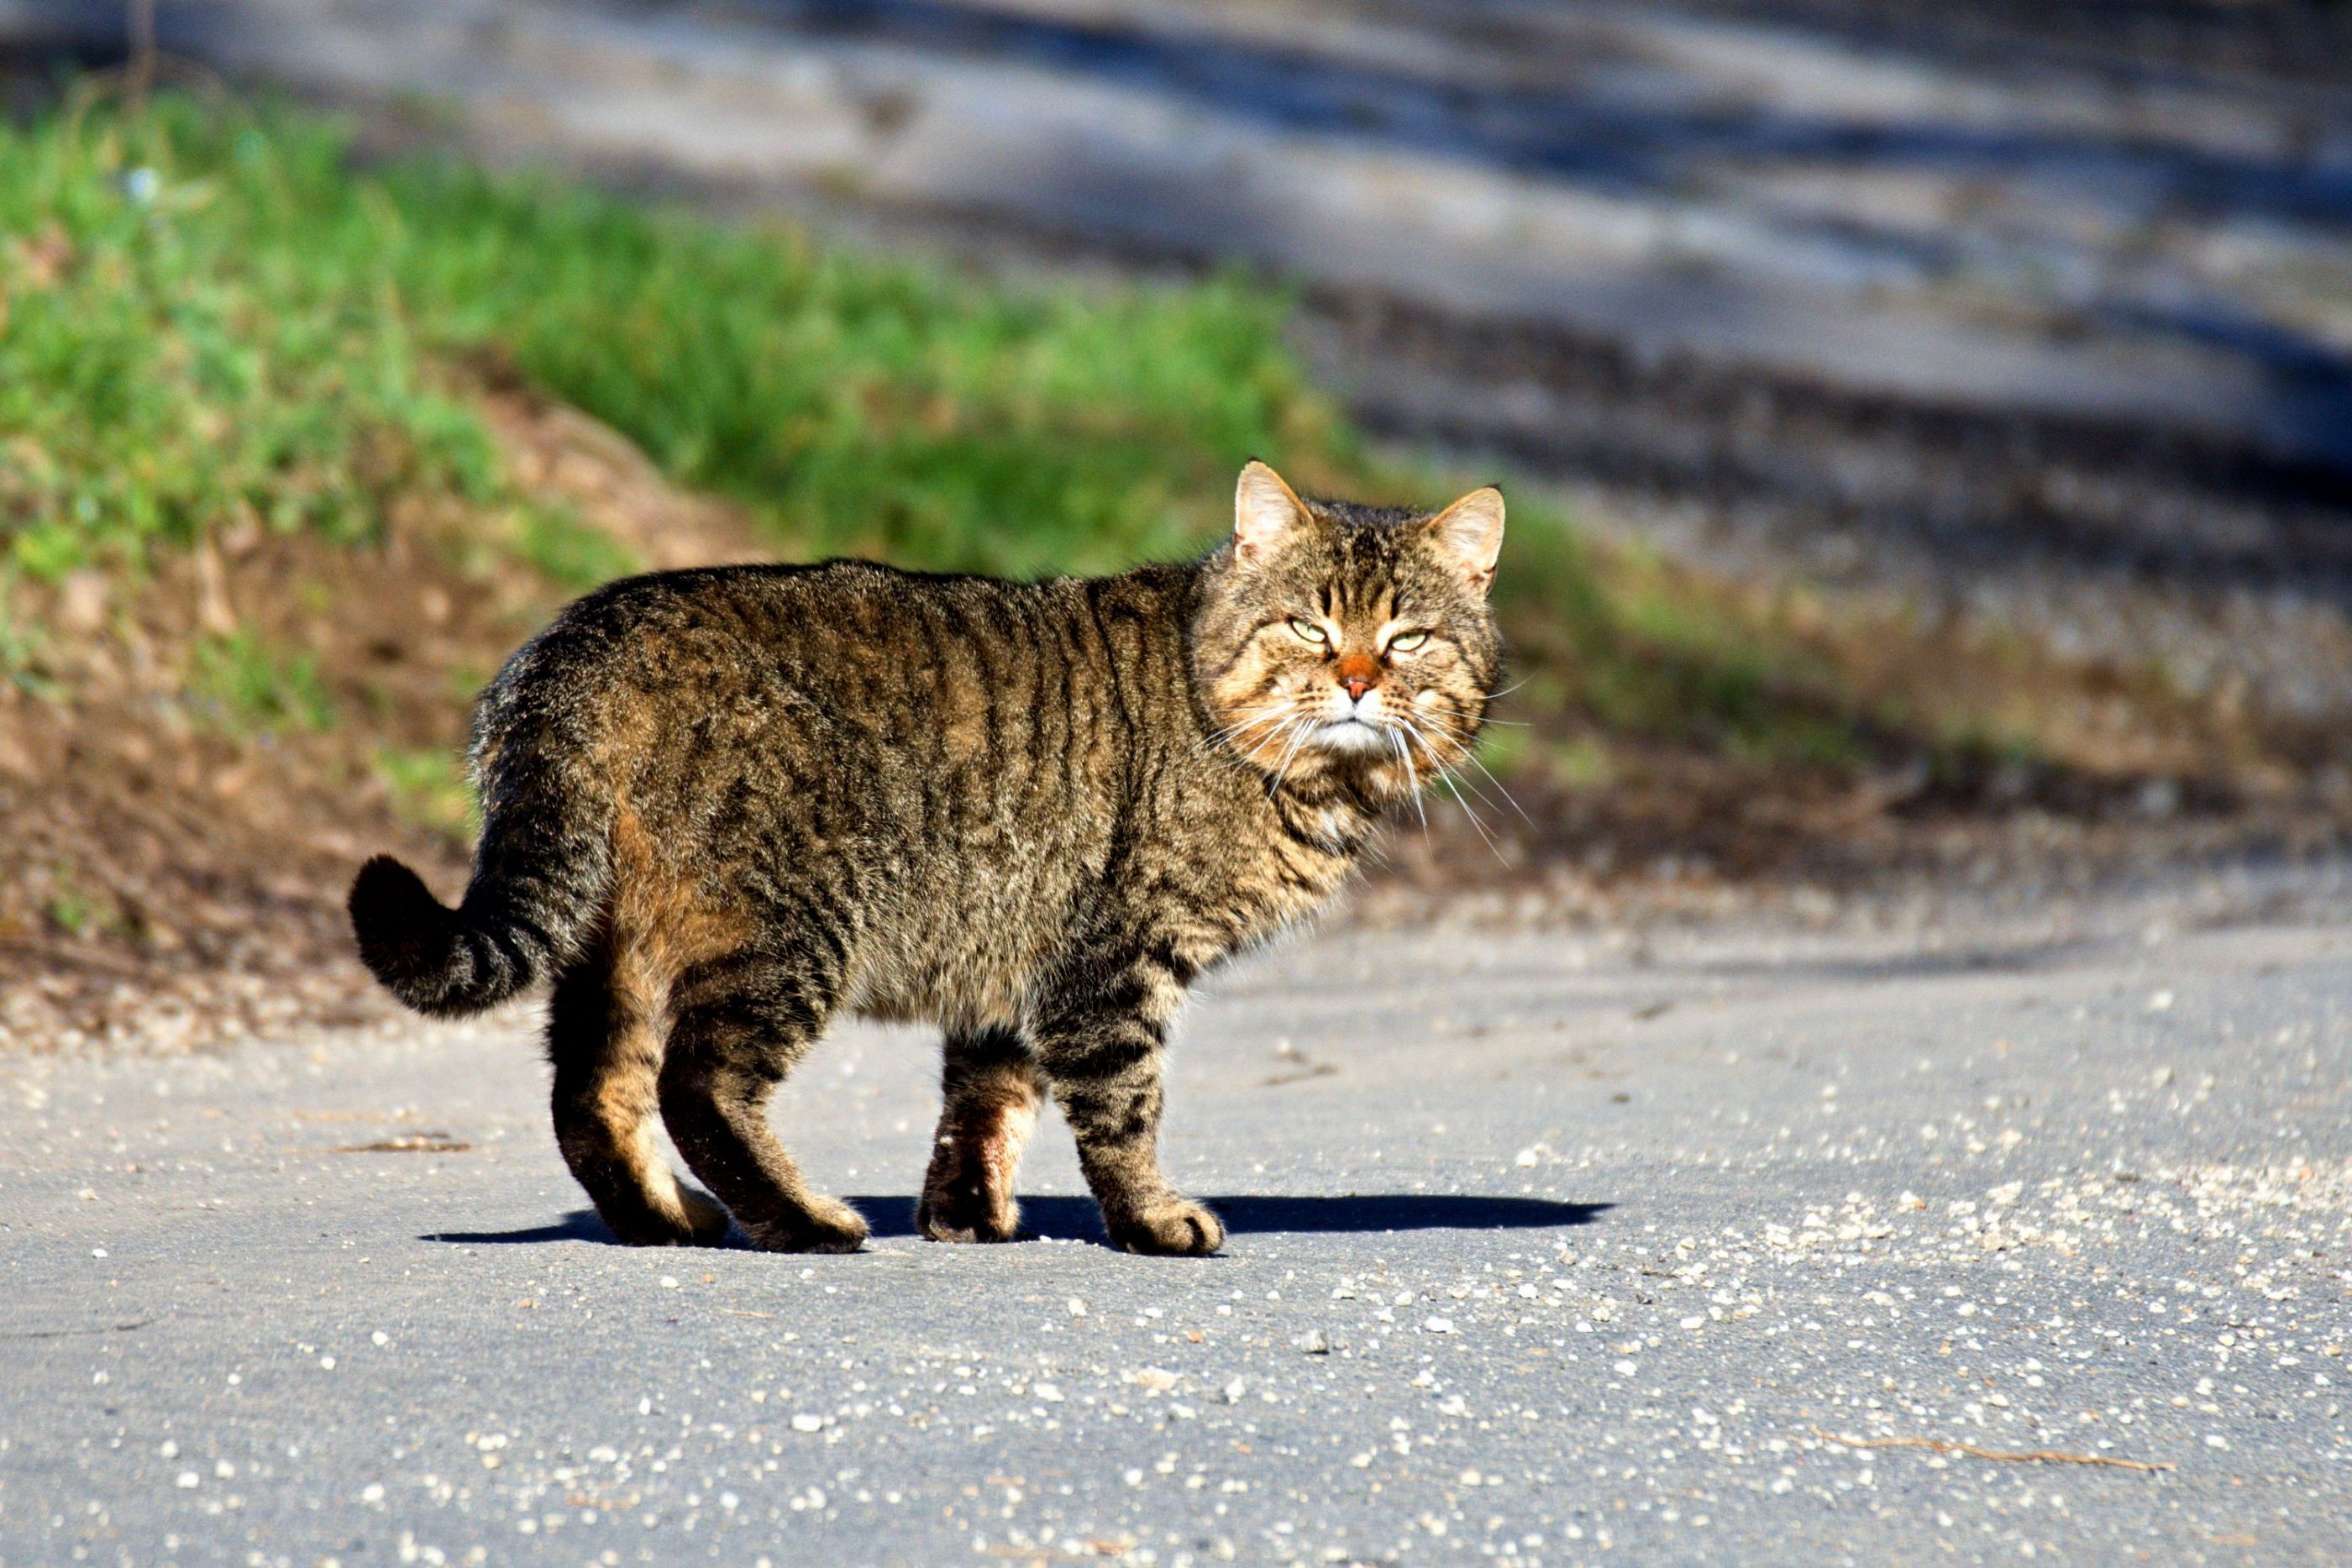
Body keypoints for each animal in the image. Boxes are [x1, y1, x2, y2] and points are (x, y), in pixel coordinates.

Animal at [354, 460, 1505, 1260]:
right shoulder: (1112, 966)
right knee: (699, 1083)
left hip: (619, 941)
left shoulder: (1017, 954)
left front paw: (967, 1216)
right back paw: (806, 1220)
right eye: (1310, 626)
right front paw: (1150, 1220)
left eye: (1406, 638)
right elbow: (1123, 1107)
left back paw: (667, 1219)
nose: (1356, 679)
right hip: (785, 928)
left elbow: (983, 1103)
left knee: (593, 1093)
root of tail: (583, 637)